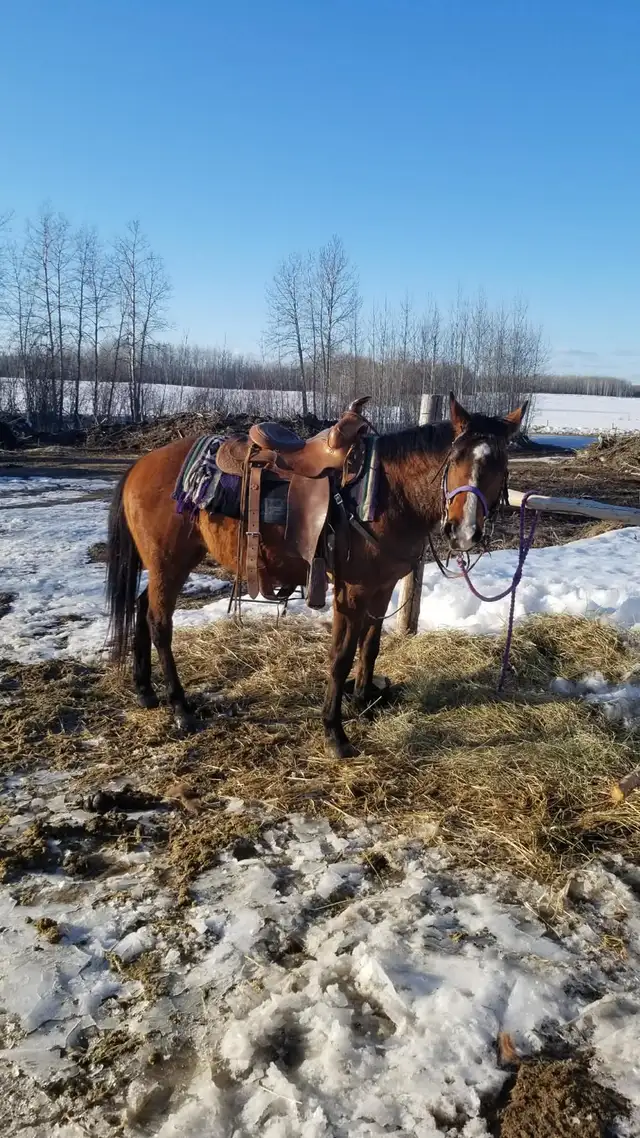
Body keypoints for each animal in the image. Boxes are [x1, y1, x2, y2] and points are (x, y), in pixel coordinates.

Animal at [105, 393, 526, 758]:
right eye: (454, 458)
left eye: (501, 464)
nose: (464, 531)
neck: (386, 494)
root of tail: (141, 464)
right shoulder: (352, 591)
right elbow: (341, 656)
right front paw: (335, 733)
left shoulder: (382, 586)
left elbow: (370, 645)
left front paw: (362, 702)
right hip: (169, 562)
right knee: (159, 622)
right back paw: (180, 709)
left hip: (170, 563)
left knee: (142, 608)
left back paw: (145, 691)